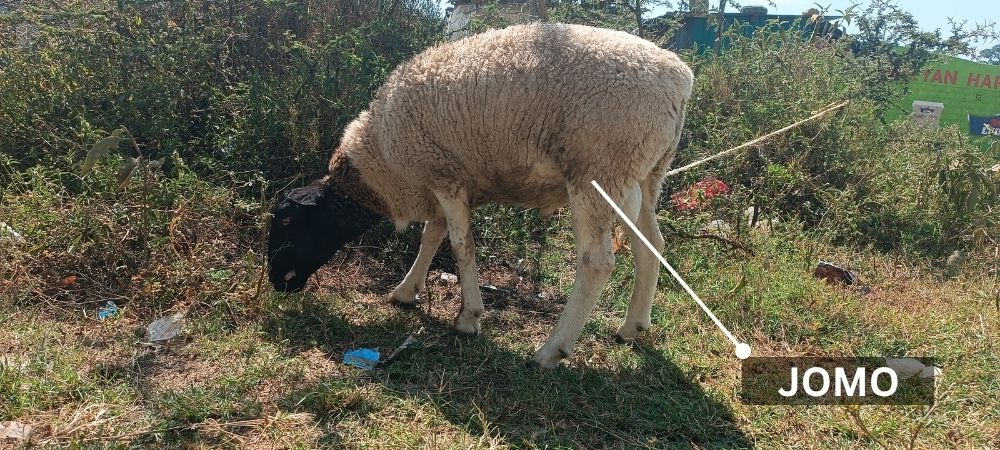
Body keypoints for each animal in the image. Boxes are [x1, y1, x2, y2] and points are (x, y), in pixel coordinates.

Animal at [268, 22, 693, 368]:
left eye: (287, 221)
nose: (276, 283)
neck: (382, 163)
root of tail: (680, 78)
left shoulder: (444, 175)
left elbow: (460, 245)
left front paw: (468, 318)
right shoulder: (442, 180)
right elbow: (432, 235)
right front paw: (406, 291)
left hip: (598, 171)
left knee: (597, 263)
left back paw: (550, 350)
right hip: (644, 175)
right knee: (651, 245)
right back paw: (632, 327)